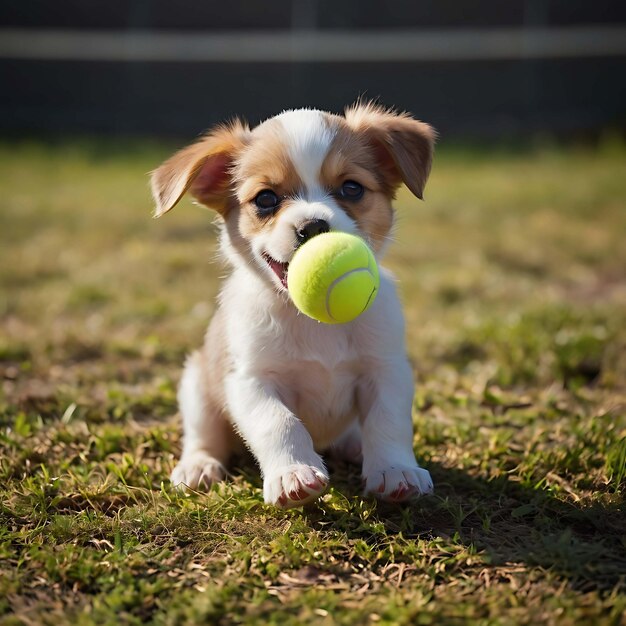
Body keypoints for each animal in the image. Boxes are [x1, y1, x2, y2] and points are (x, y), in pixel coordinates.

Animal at [151, 102, 434, 508]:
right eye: (266, 199)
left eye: (351, 188)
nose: (313, 226)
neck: (314, 323)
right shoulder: (252, 381)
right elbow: (278, 423)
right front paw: (292, 473)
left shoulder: (386, 370)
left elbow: (388, 422)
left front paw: (395, 470)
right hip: (196, 385)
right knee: (203, 436)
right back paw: (198, 466)